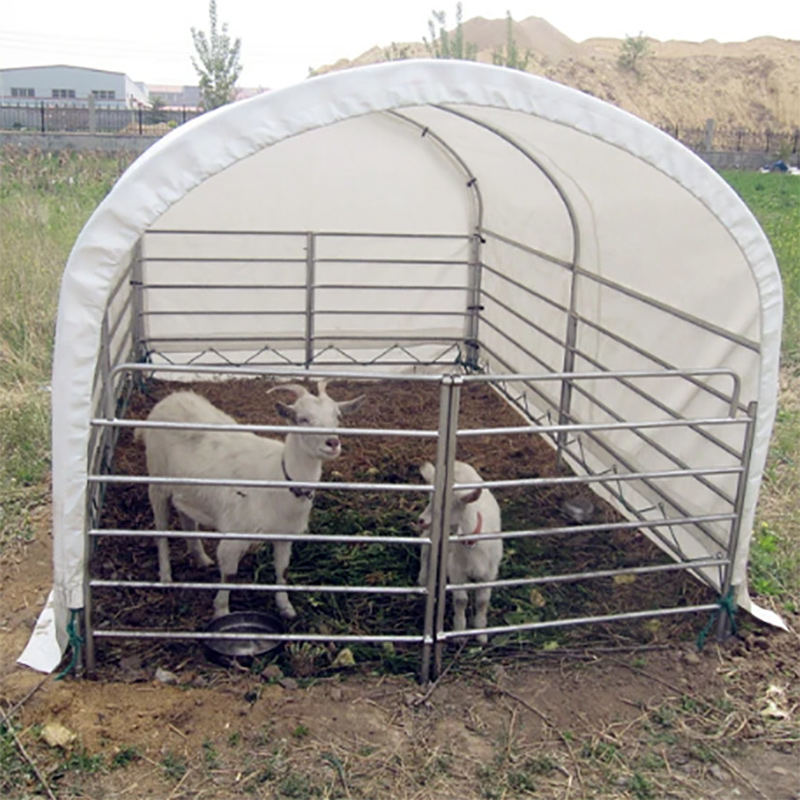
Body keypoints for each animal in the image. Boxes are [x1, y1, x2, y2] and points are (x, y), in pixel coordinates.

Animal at [137, 382, 362, 620]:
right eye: (302, 419)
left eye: (338, 416)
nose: (333, 442)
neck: (278, 478)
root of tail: (170, 398)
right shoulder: (235, 534)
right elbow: (229, 574)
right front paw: (222, 611)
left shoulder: (284, 534)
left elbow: (282, 570)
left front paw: (286, 607)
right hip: (157, 480)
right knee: (161, 529)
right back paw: (165, 576)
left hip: (186, 488)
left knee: (186, 516)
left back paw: (201, 558)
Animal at [416, 460, 504, 640]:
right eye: (432, 500)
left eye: (445, 506)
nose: (420, 520)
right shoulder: (456, 570)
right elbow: (461, 600)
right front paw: (459, 632)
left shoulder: (490, 573)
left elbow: (483, 601)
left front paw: (481, 633)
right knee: (426, 545)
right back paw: (423, 577)